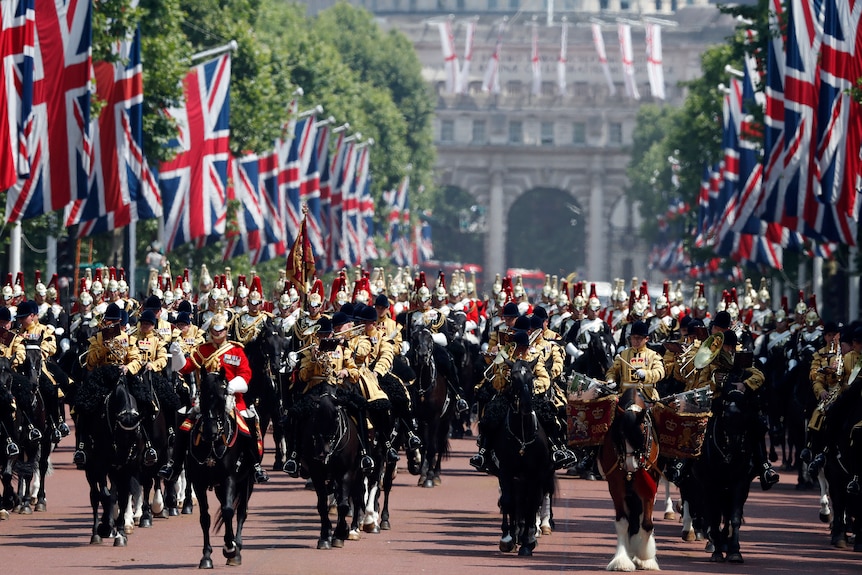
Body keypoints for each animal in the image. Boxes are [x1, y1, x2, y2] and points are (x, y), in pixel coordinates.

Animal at [185, 372, 255, 568]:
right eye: (201, 397)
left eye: (223, 399)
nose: (210, 432)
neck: (212, 445)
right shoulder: (199, 483)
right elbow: (205, 518)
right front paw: (206, 556)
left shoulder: (229, 478)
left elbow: (229, 511)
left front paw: (231, 549)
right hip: (218, 488)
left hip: (247, 481)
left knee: (241, 512)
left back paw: (236, 547)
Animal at [408, 330, 456, 488]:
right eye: (414, 338)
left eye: (430, 338)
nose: (423, 355)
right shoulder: (421, 419)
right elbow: (424, 445)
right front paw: (422, 475)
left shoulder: (435, 418)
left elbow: (433, 447)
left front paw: (429, 477)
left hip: (445, 421)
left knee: (440, 445)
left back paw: (436, 474)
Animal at [492, 360, 552, 560]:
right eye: (513, 377)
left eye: (532, 377)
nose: (526, 405)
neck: (522, 434)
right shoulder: (505, 470)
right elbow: (508, 501)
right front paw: (507, 538)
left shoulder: (535, 473)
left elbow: (531, 503)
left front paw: (527, 542)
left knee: (531, 502)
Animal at [600, 388, 660, 572]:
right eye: (620, 434)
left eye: (642, 433)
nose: (630, 466)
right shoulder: (616, 486)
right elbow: (622, 522)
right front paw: (621, 560)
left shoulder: (649, 482)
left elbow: (647, 523)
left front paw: (645, 558)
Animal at [700, 390, 760, 564]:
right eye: (724, 419)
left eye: (746, 419)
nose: (734, 455)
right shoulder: (711, 484)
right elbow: (714, 516)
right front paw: (717, 552)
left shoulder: (740, 483)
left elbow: (734, 517)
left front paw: (734, 552)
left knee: (726, 513)